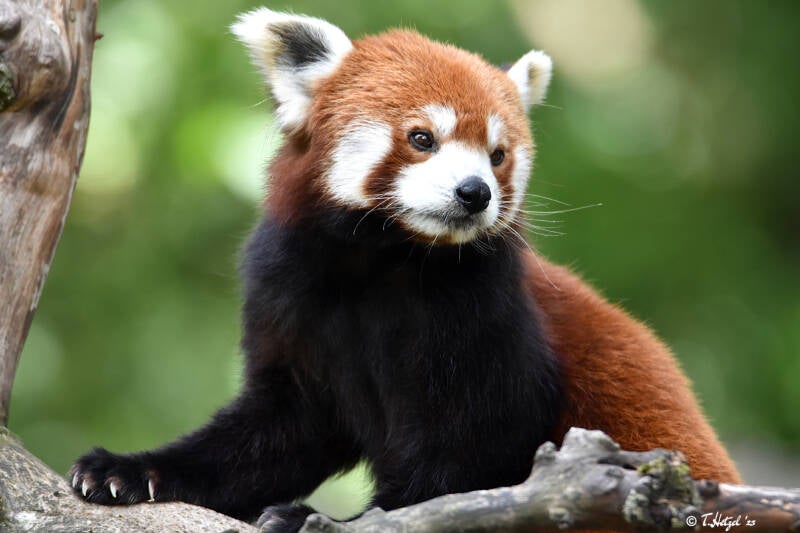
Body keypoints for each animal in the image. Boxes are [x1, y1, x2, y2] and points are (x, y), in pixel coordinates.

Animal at [71, 7, 741, 532]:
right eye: (422, 138)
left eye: (498, 155)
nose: (474, 192)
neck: (386, 258)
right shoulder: (290, 293)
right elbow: (277, 432)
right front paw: (127, 470)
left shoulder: (488, 312)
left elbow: (472, 454)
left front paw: (331, 520)